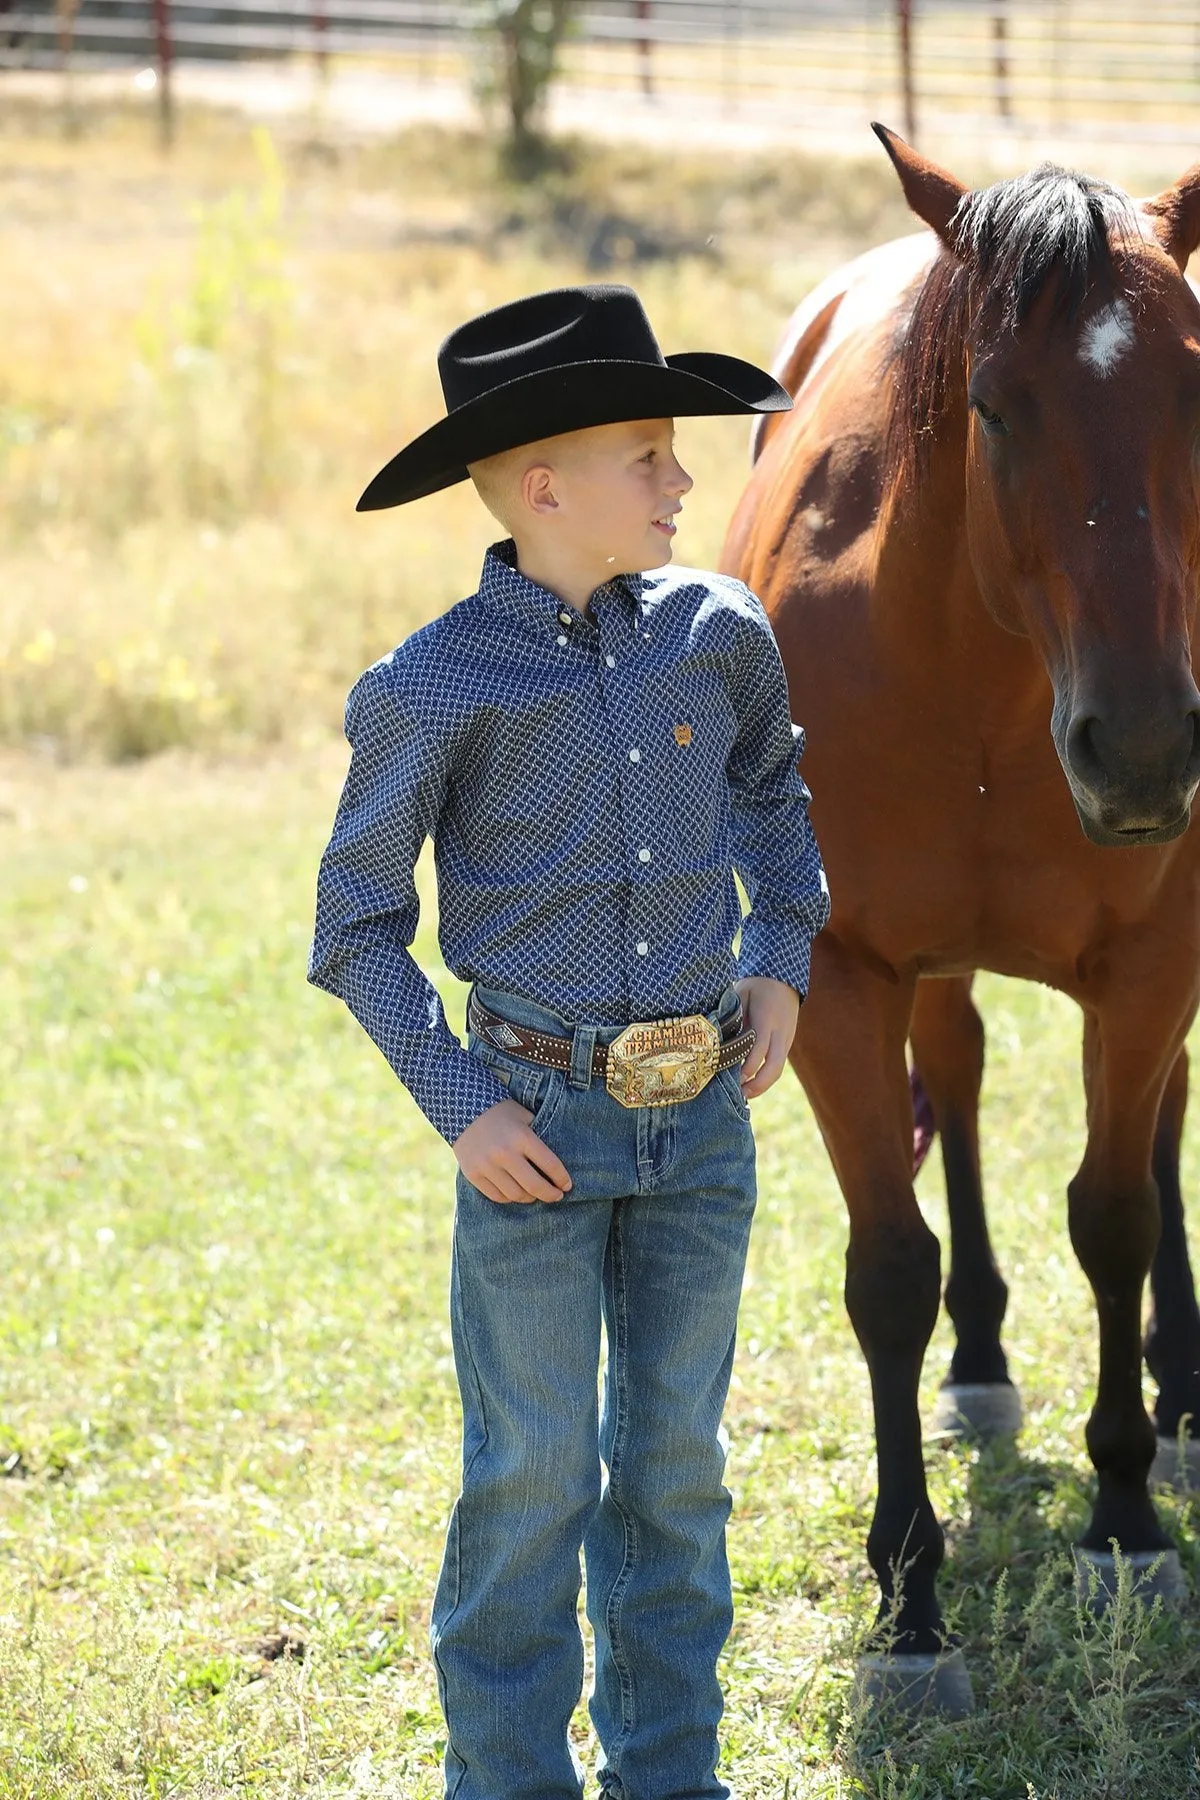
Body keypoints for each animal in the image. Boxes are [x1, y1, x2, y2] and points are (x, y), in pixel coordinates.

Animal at [726, 133, 1200, 1706]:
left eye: (1198, 390)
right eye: (995, 402)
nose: (1144, 750)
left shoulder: (1150, 967)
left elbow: (1115, 1216)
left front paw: (1125, 1525)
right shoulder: (841, 977)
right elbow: (891, 1272)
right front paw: (909, 1604)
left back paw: (1181, 1388)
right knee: (967, 1083)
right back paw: (983, 1366)